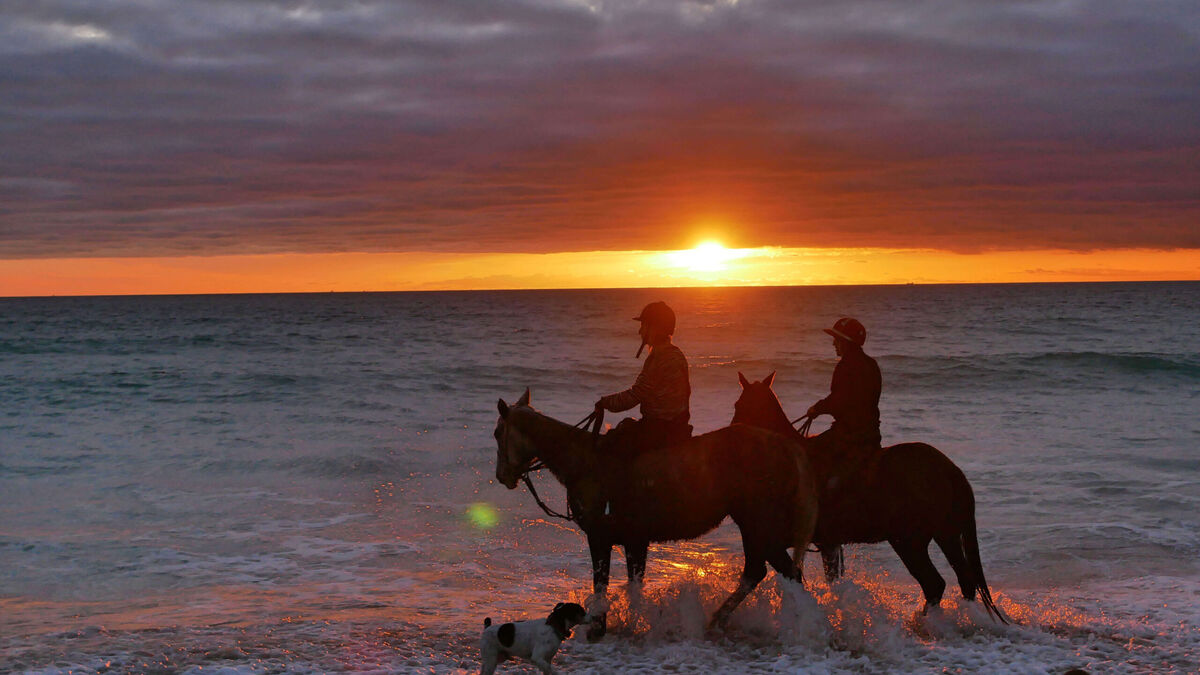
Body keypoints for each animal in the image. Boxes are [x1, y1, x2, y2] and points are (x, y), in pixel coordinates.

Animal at [492, 386, 820, 638]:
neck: (585, 461)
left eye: (497, 433)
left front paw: (601, 627)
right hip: (755, 526)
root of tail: (782, 445)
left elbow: (603, 583)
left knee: (772, 570)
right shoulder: (633, 541)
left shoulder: (601, 537)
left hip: (756, 523)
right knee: (770, 571)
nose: (502, 476)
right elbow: (632, 583)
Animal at [724, 369, 1008, 624]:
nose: (732, 434)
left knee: (934, 584)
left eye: (740, 404)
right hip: (946, 535)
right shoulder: (826, 543)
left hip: (910, 542)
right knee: (963, 581)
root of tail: (950, 469)